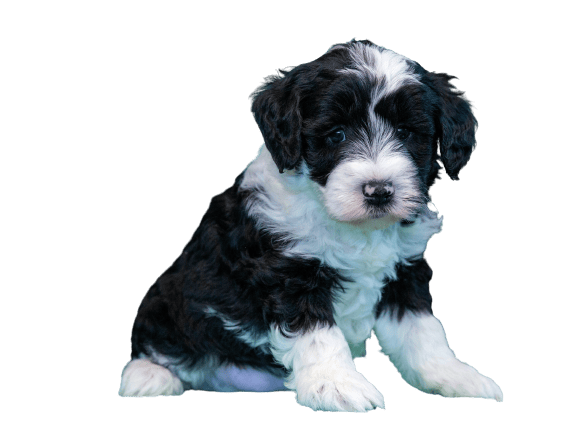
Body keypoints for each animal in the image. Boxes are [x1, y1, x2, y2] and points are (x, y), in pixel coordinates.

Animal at [117, 38, 504, 412]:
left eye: (406, 132)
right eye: (337, 134)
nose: (378, 191)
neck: (354, 226)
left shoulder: (405, 273)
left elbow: (423, 332)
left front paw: (455, 376)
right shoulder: (290, 275)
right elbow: (318, 334)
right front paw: (337, 385)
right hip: (169, 300)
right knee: (153, 342)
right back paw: (149, 376)